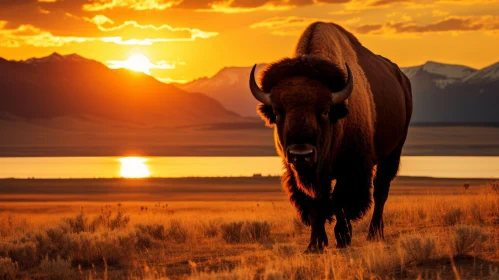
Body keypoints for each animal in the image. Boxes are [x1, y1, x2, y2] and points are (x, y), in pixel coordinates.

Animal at [248, 20, 412, 250]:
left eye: (325, 111)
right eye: (278, 112)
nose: (301, 154)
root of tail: (402, 79)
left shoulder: (350, 167)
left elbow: (339, 200)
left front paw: (343, 236)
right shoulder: (302, 174)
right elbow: (316, 202)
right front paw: (315, 244)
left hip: (394, 150)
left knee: (381, 190)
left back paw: (374, 233)